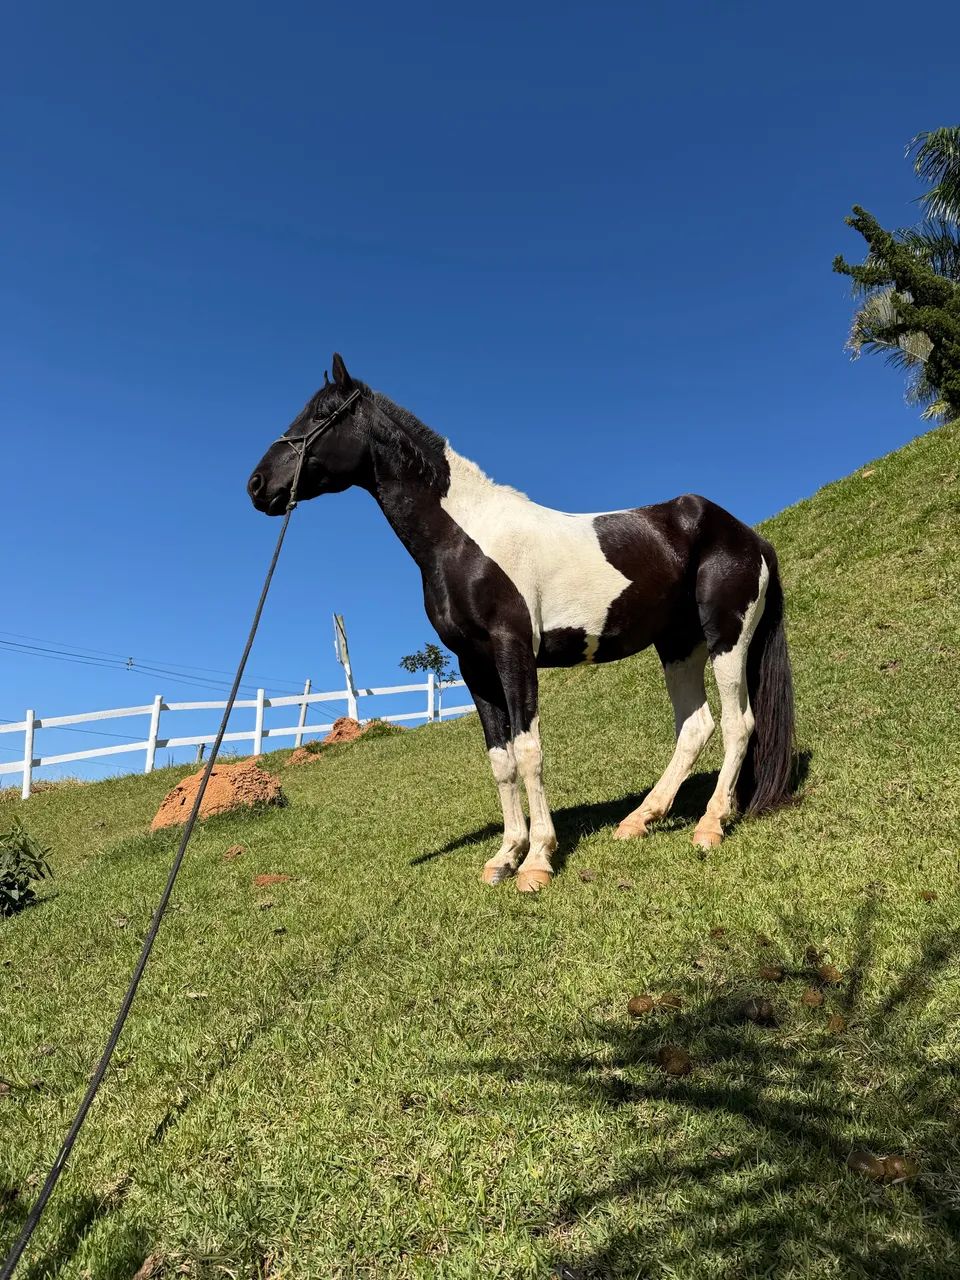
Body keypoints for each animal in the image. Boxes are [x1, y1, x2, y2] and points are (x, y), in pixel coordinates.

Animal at [248, 354, 795, 892]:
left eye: (322, 415)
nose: (257, 485)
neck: (467, 540)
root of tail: (748, 536)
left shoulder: (513, 650)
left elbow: (529, 749)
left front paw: (537, 861)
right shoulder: (474, 665)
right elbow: (501, 758)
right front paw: (505, 855)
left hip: (727, 639)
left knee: (738, 724)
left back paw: (710, 825)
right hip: (678, 647)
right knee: (694, 727)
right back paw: (639, 821)